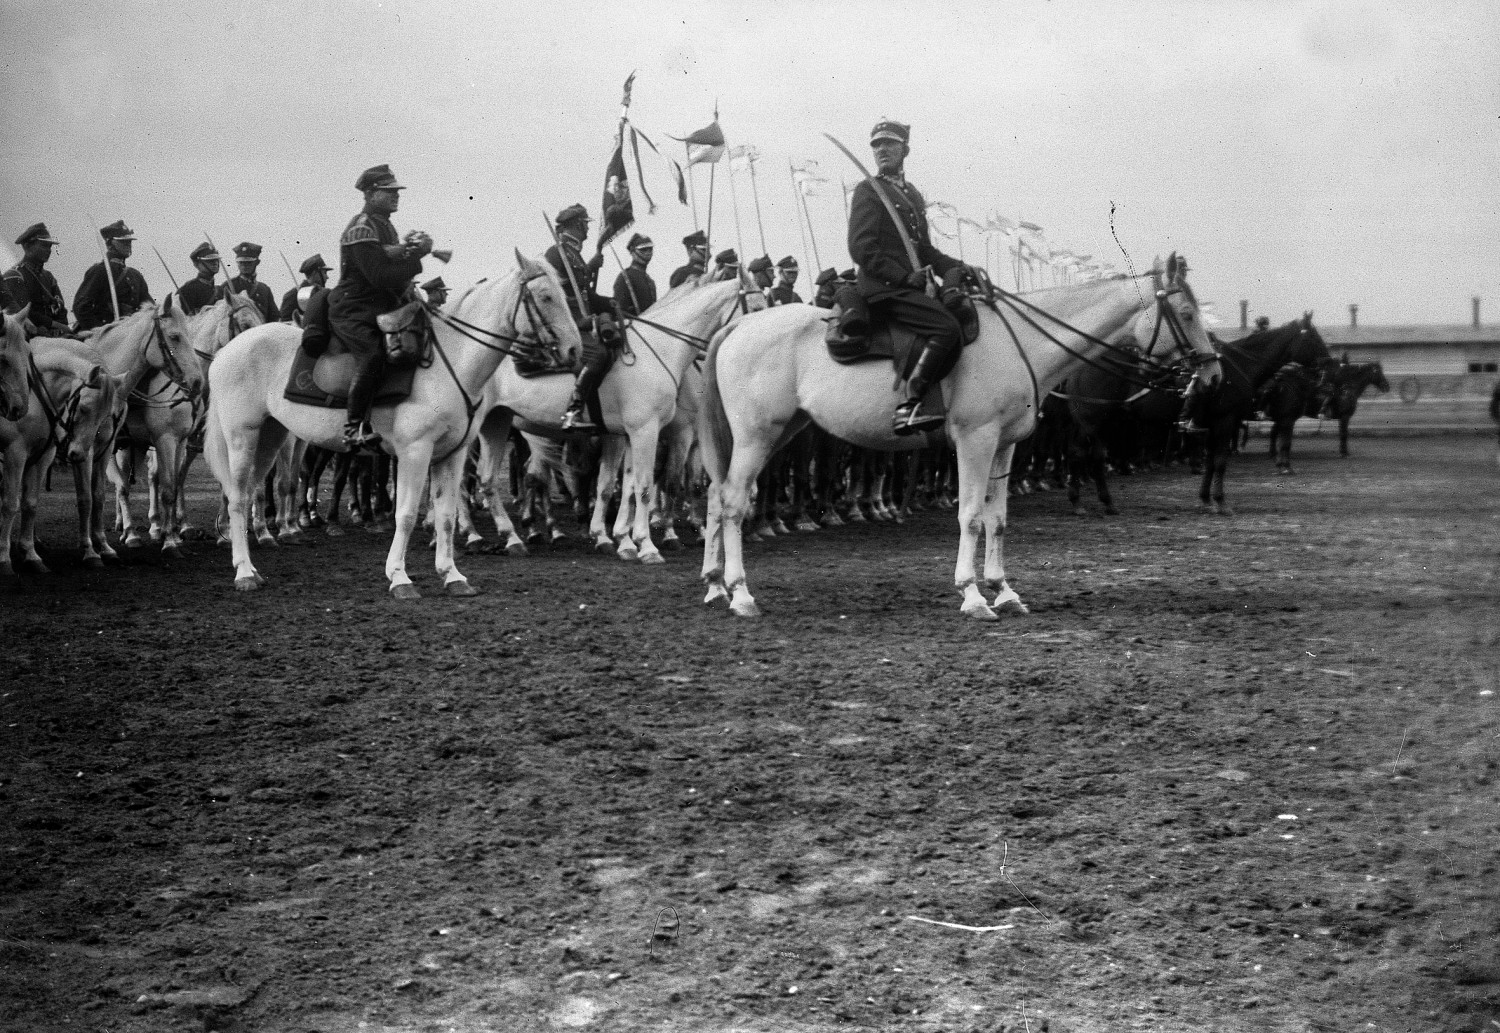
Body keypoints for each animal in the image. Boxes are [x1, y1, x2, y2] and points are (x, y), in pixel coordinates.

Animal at [199, 250, 573, 599]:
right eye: (545, 296)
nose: (573, 349)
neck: (450, 362)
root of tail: (225, 352)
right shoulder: (415, 452)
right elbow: (405, 514)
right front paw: (400, 577)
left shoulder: (451, 454)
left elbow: (447, 515)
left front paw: (452, 576)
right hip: (242, 437)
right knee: (237, 499)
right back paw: (244, 573)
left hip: (271, 436)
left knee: (249, 494)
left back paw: (253, 563)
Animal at [474, 262, 768, 560]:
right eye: (757, 307)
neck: (659, 349)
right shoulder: (654, 432)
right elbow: (649, 485)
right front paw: (650, 543)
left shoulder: (628, 435)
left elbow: (620, 486)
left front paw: (619, 538)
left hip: (499, 424)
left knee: (491, 478)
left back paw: (514, 536)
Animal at [696, 256, 1224, 620]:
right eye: (1185, 312)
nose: (1214, 376)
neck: (1021, 343)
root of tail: (741, 323)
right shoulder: (976, 440)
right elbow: (970, 516)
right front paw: (971, 594)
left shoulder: (1005, 446)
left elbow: (998, 520)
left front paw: (1004, 590)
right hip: (757, 436)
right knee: (734, 502)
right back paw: (740, 593)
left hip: (783, 431)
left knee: (717, 496)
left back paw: (715, 584)